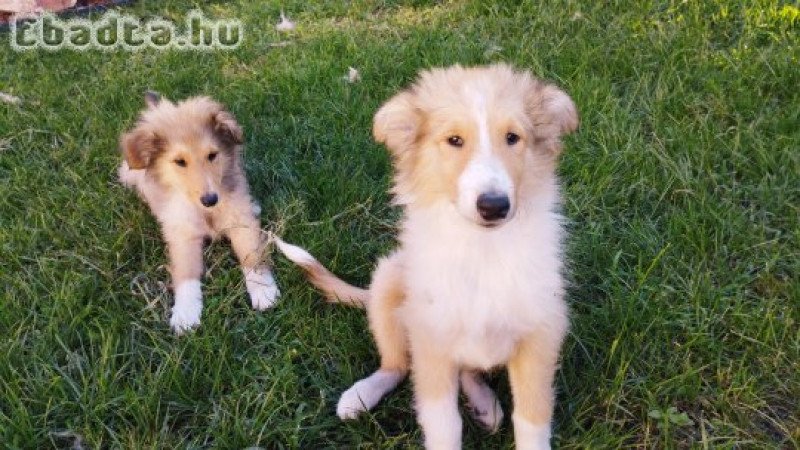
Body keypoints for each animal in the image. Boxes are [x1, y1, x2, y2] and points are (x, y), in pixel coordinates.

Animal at [119, 93, 280, 334]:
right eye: (179, 161)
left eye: (213, 155)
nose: (210, 199)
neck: (206, 212)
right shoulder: (183, 235)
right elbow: (187, 273)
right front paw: (186, 312)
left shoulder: (240, 222)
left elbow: (251, 254)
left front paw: (262, 289)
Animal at [278, 64, 580, 450]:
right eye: (454, 140)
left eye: (513, 137)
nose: (494, 206)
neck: (482, 249)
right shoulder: (431, 342)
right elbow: (444, 425)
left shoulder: (540, 336)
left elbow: (531, 418)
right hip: (389, 280)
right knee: (396, 366)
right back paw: (361, 395)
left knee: (467, 371)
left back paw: (484, 404)